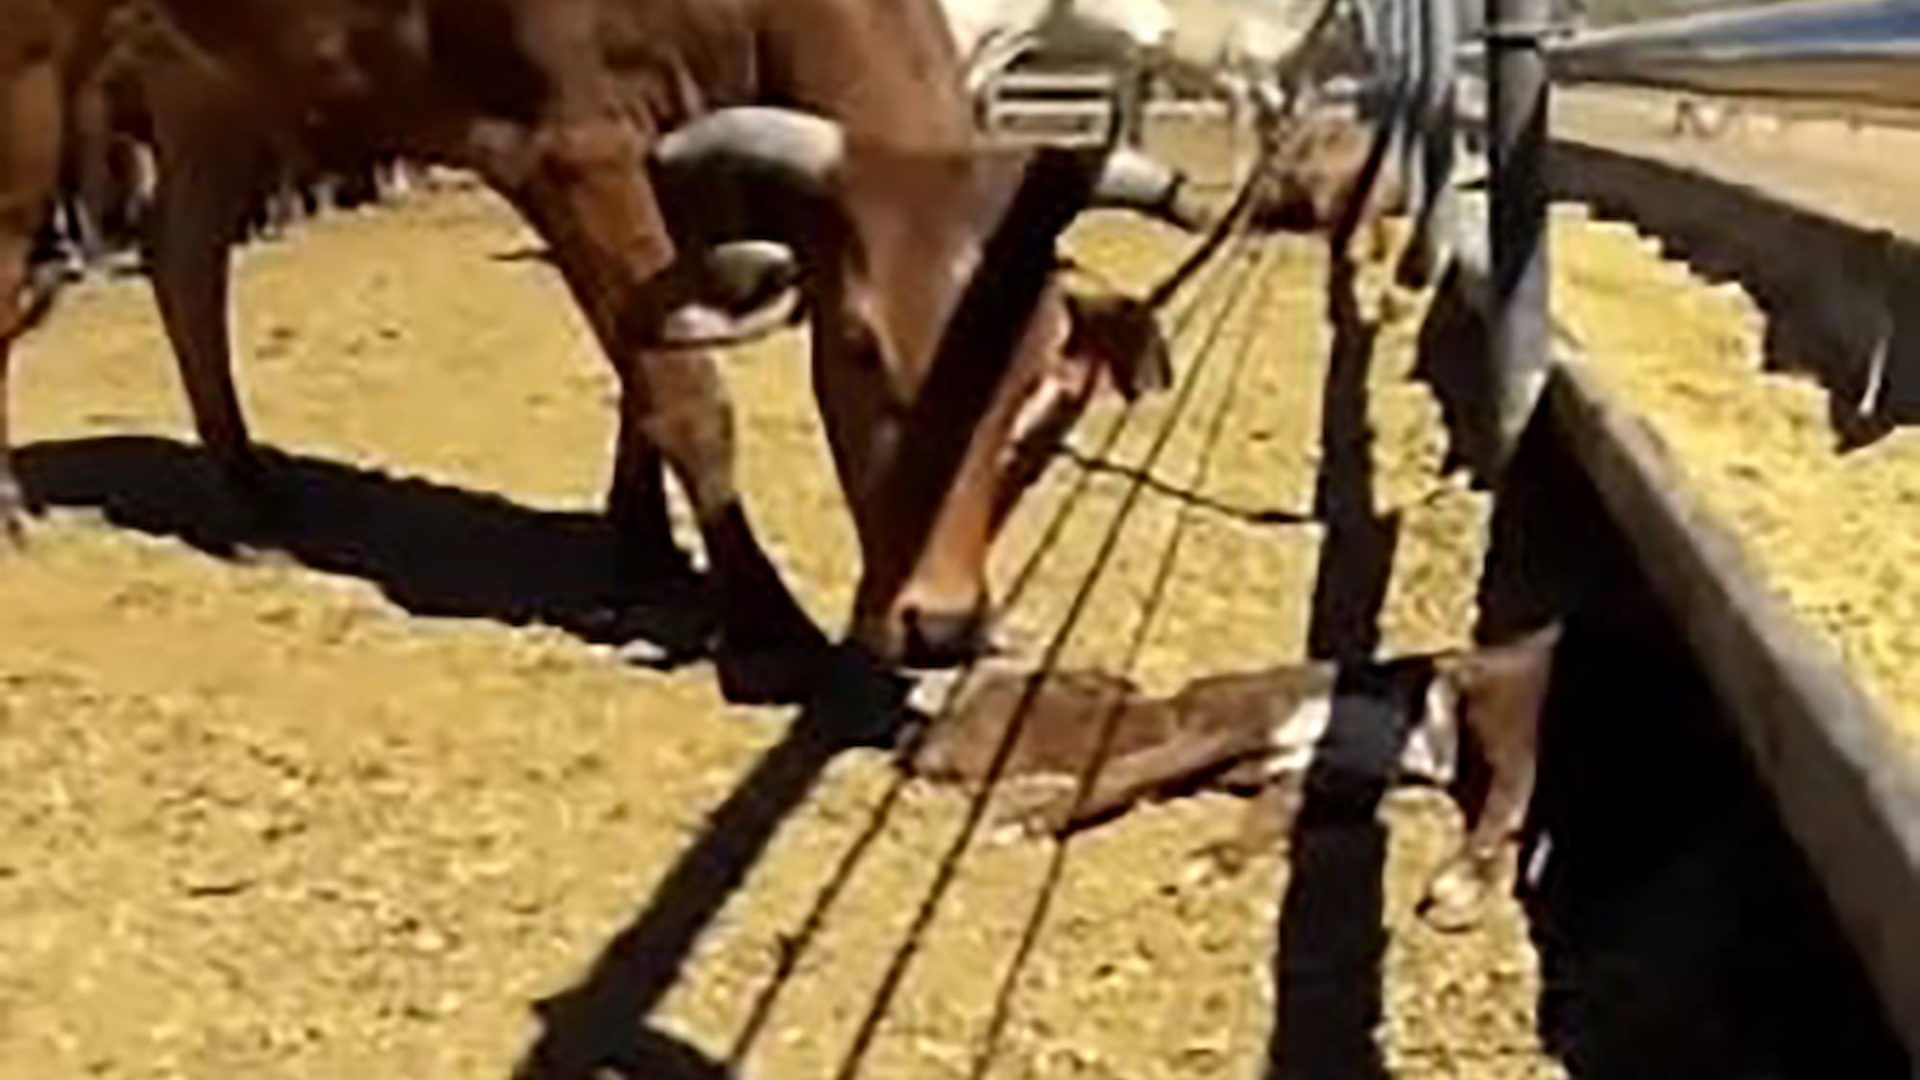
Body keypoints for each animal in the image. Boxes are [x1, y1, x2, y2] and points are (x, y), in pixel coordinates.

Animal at [0, 0, 1198, 707]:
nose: (942, 623)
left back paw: (252, 499)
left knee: (185, 259)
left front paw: (644, 542)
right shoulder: (574, 148)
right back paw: (15, 509)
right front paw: (763, 616)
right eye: (861, 348)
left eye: (1041, 379)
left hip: (216, 85)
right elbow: (686, 390)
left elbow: (645, 363)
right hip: (36, 69)